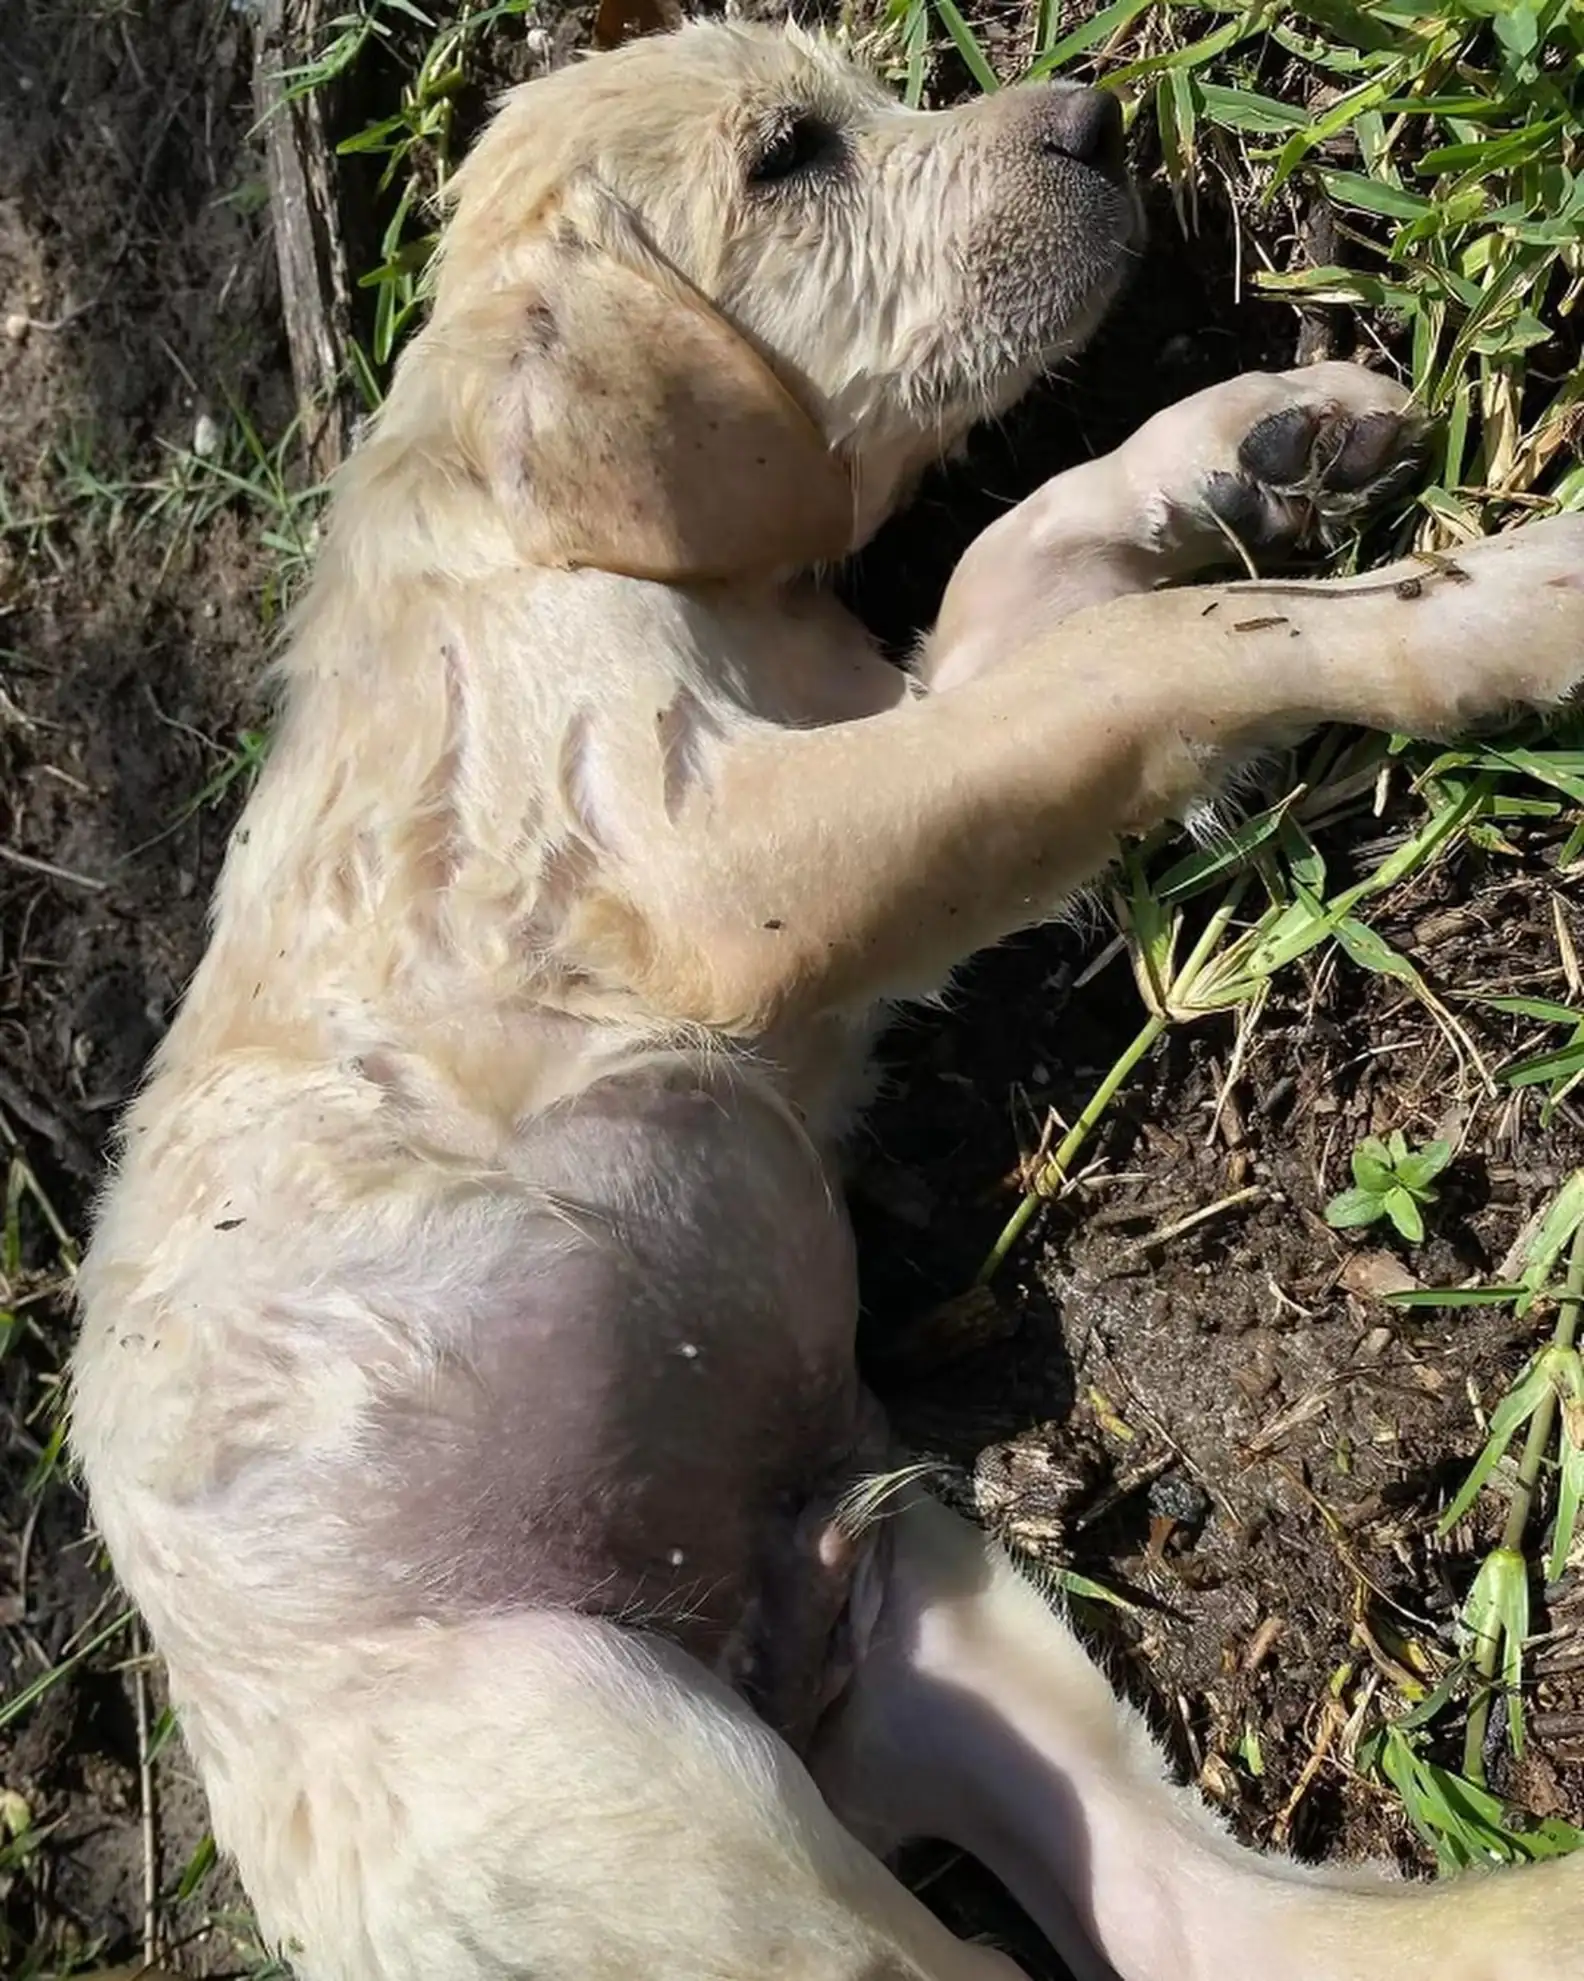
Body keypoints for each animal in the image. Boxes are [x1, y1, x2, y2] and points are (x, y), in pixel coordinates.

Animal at [71, 19, 1584, 1981]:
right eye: (790, 156)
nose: (1101, 117)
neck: (568, 547)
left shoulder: (887, 709)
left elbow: (1039, 560)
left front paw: (1257, 439)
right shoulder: (724, 868)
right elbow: (1157, 650)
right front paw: (1483, 604)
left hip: (928, 1617)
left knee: (1211, 1925)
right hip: (635, 1785)